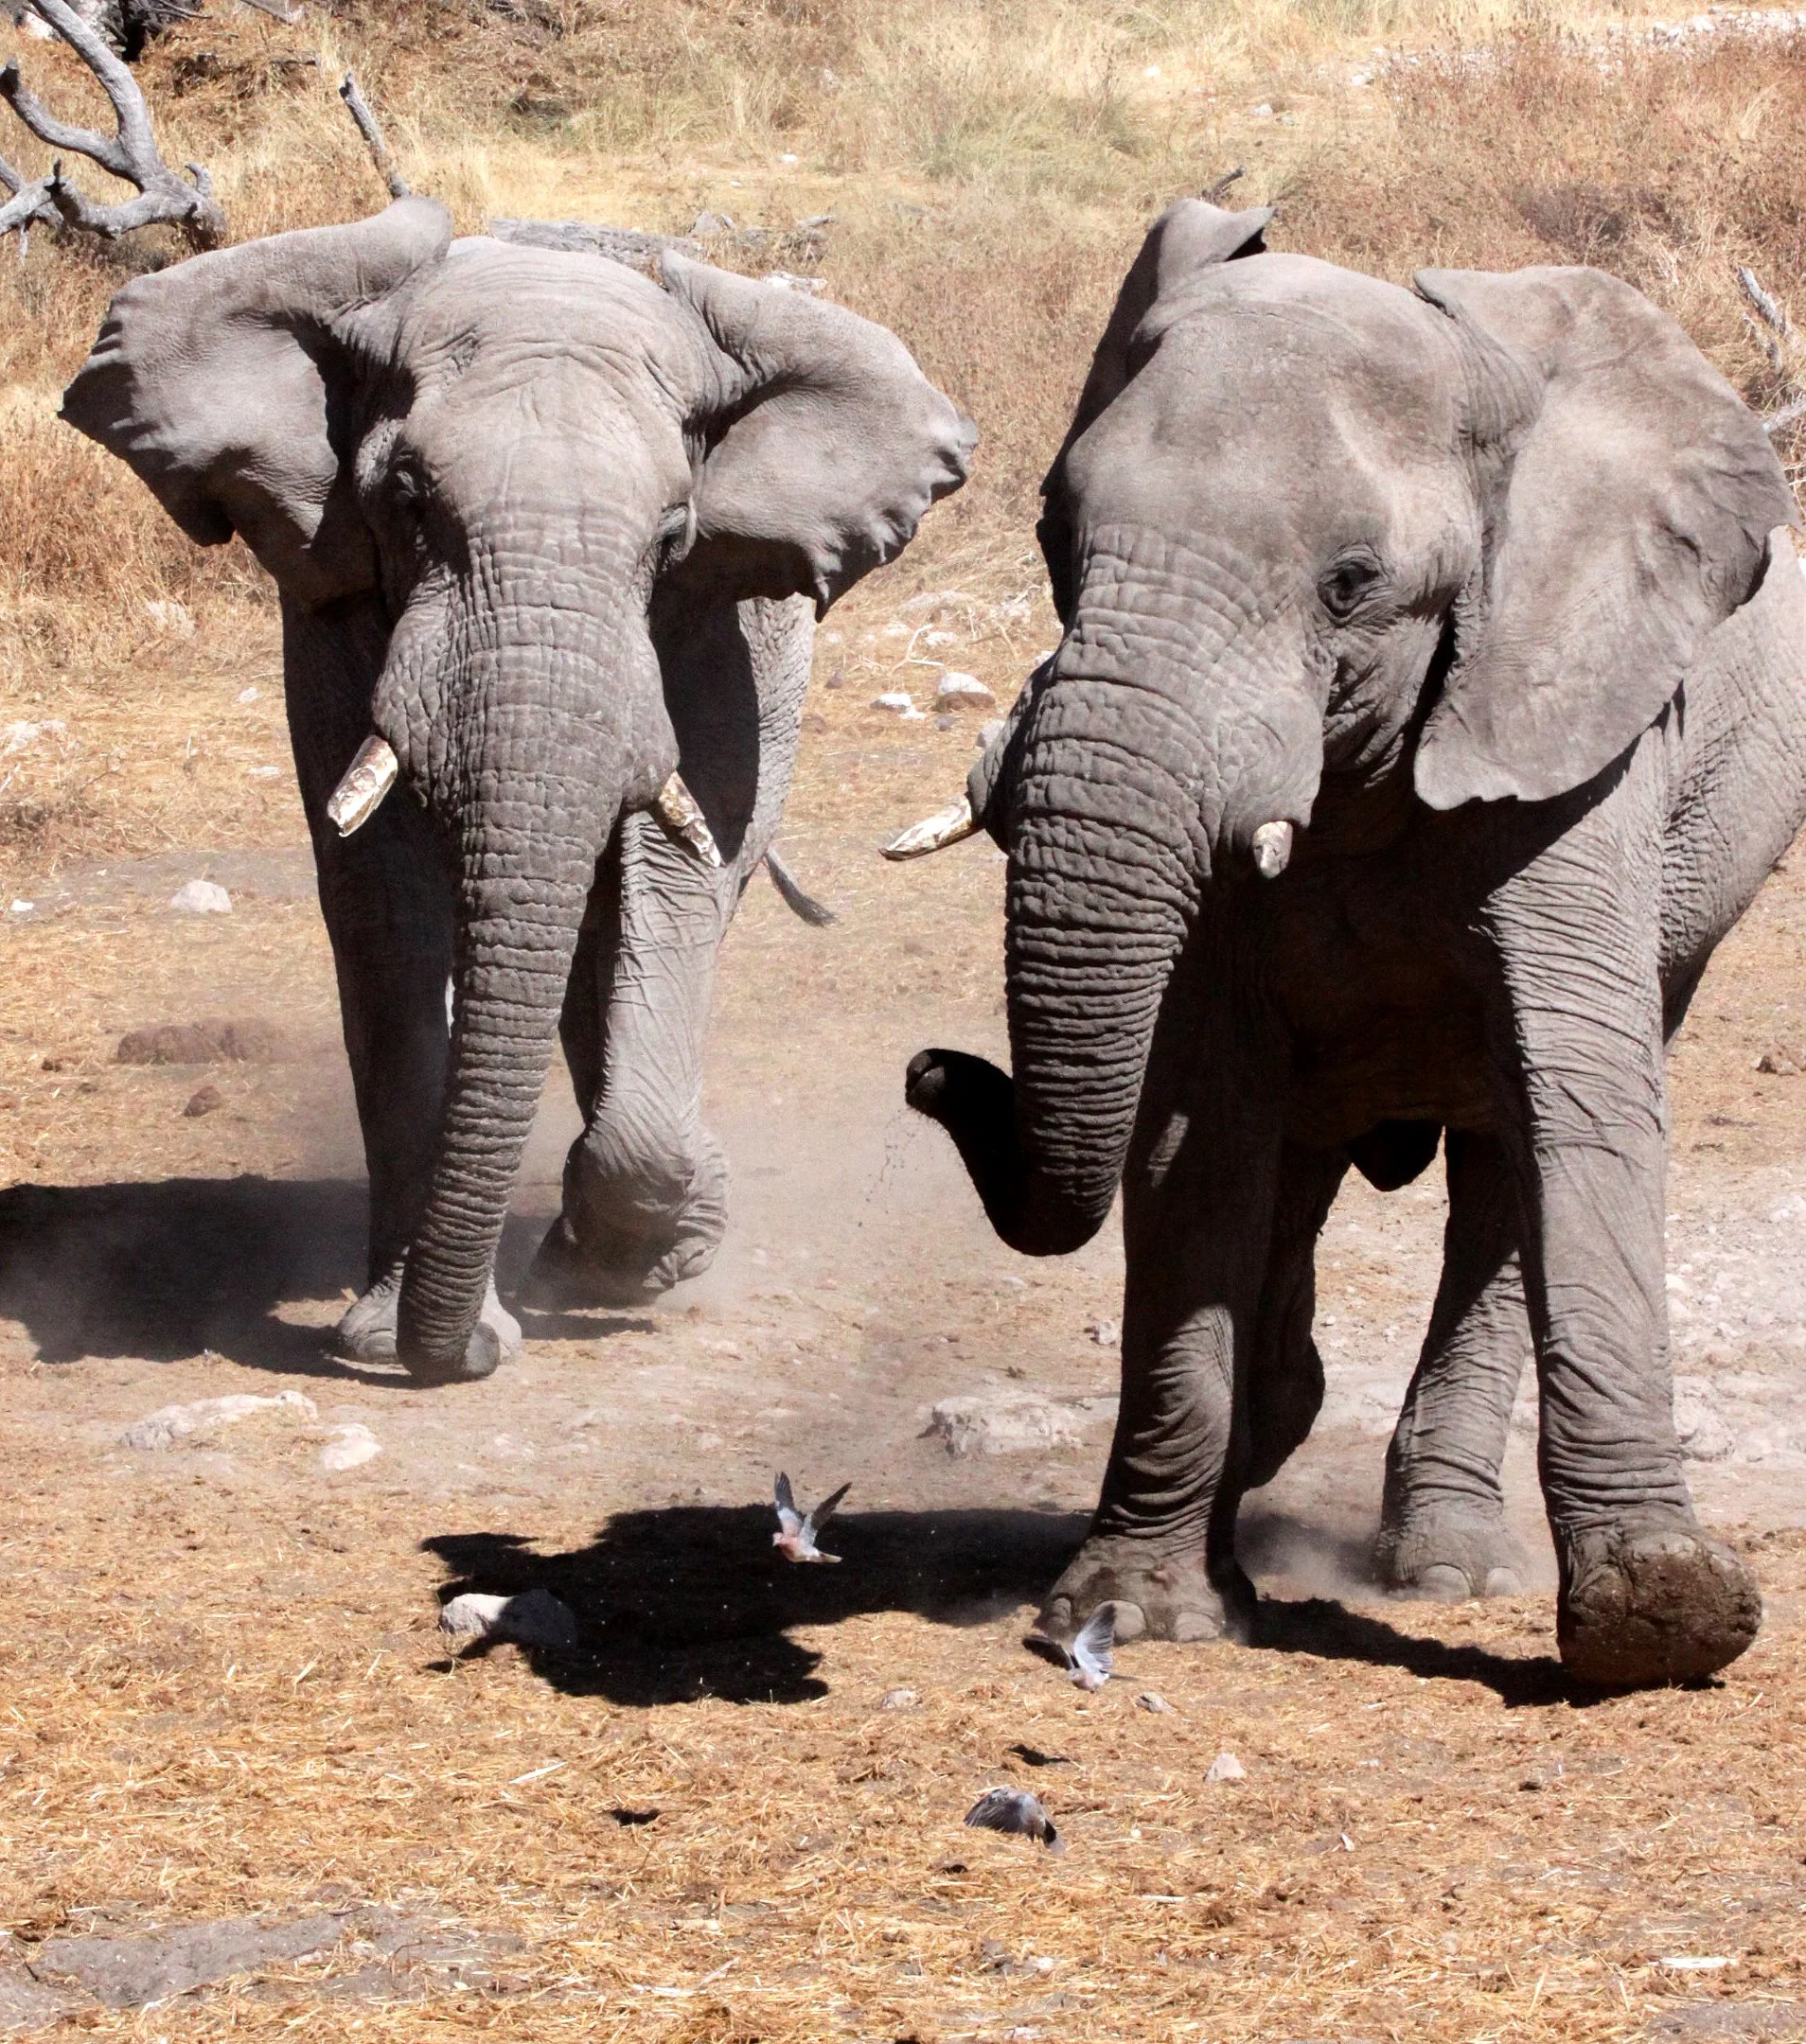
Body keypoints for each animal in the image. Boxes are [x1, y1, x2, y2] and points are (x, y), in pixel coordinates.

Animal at [63, 196, 973, 1384]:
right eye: (406, 503)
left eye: (674, 536)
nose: (459, 1359)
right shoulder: (335, 597)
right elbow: (383, 904)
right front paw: (394, 1336)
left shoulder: (721, 623)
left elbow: (673, 875)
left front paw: (614, 1269)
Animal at [899, 196, 1806, 1687]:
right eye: (1055, 535)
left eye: (1350, 584)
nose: (931, 1073)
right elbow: (1197, 1129)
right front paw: (1136, 1612)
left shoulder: (1576, 732)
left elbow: (1584, 1104)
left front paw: (1661, 1619)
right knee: (1297, 1152)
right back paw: (1271, 1441)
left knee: (1499, 1165)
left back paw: (1446, 1564)